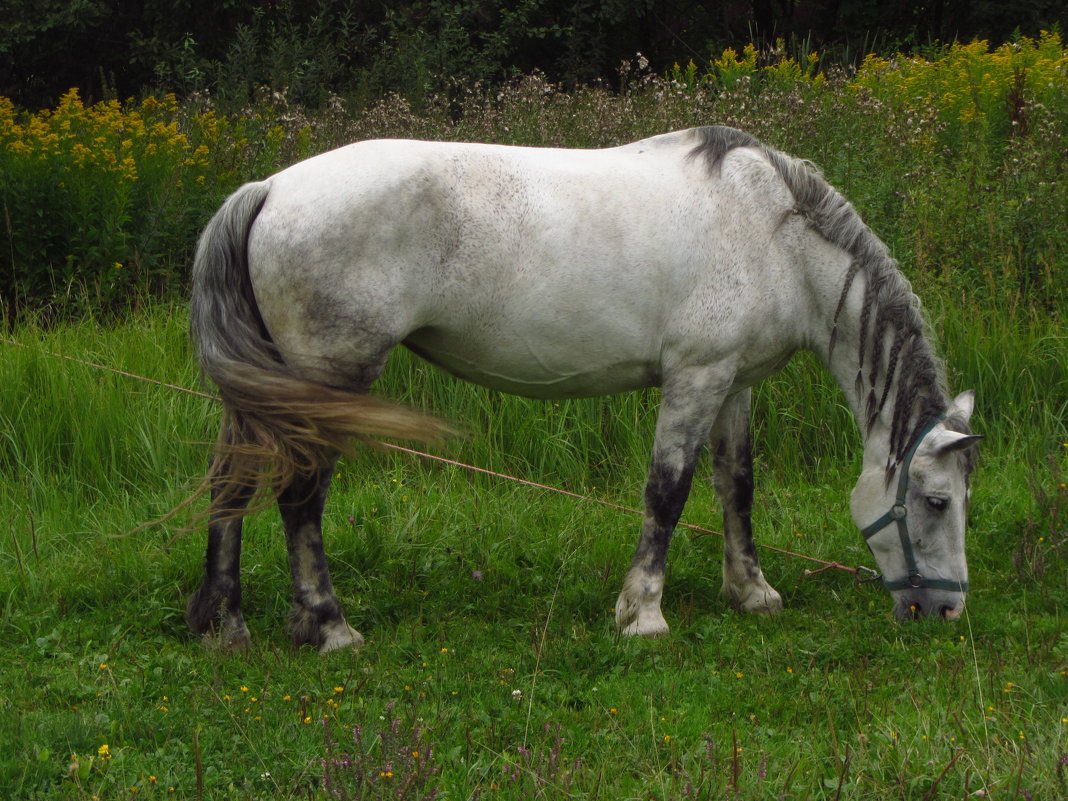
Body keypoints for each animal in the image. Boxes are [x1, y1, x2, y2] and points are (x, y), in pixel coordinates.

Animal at [185, 125, 978, 653]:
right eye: (937, 501)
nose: (945, 612)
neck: (773, 234)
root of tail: (270, 189)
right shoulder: (696, 378)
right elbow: (668, 492)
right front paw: (643, 613)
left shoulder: (734, 382)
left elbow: (737, 485)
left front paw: (751, 592)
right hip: (329, 379)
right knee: (298, 498)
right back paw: (329, 625)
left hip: (271, 390)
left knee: (233, 482)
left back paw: (226, 623)